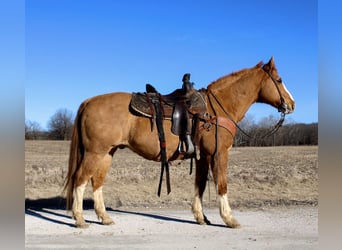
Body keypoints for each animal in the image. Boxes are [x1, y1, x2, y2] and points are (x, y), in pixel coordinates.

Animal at [63, 57, 294, 229]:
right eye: (279, 79)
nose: (291, 104)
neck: (217, 107)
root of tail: (89, 101)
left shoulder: (203, 157)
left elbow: (200, 185)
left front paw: (201, 217)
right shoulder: (219, 154)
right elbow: (221, 184)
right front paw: (229, 219)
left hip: (107, 153)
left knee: (97, 182)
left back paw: (104, 218)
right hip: (95, 153)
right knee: (80, 179)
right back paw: (80, 219)